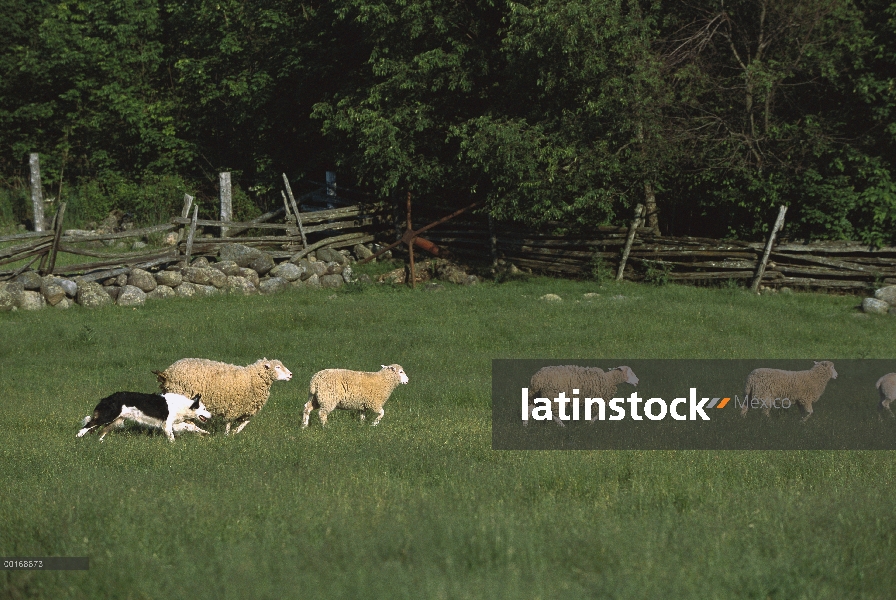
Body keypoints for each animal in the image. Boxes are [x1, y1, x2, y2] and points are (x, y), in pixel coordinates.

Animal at [76, 392, 211, 442]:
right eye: (204, 409)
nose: (212, 414)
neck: (183, 405)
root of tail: (107, 398)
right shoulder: (167, 424)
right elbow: (172, 438)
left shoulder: (175, 424)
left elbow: (191, 427)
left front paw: (205, 432)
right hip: (107, 417)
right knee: (87, 426)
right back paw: (78, 438)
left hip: (115, 421)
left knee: (100, 431)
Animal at [152, 356, 292, 436]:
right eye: (277, 367)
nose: (291, 374)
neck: (252, 379)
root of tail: (167, 373)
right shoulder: (235, 406)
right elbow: (229, 423)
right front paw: (227, 435)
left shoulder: (246, 409)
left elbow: (245, 422)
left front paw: (235, 432)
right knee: (186, 422)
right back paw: (202, 433)